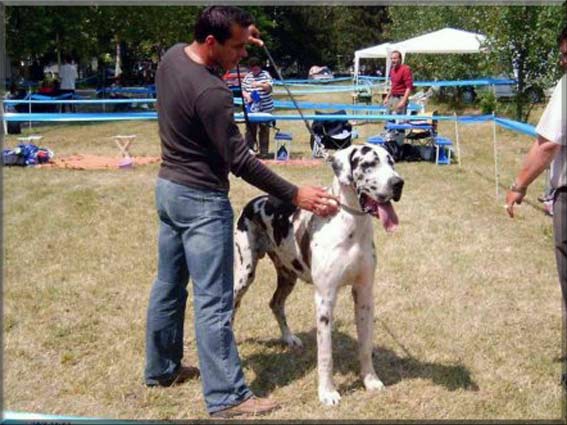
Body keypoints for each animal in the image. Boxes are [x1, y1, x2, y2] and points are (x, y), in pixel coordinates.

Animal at [233, 144, 404, 405]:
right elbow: (326, 354)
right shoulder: (325, 298)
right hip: (244, 274)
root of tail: (256, 200)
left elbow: (365, 344)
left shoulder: (364, 294)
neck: (352, 226)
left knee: (275, 303)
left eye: (392, 162)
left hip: (288, 275)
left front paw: (370, 380)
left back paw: (289, 338)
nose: (398, 183)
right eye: (368, 164)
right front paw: (327, 392)